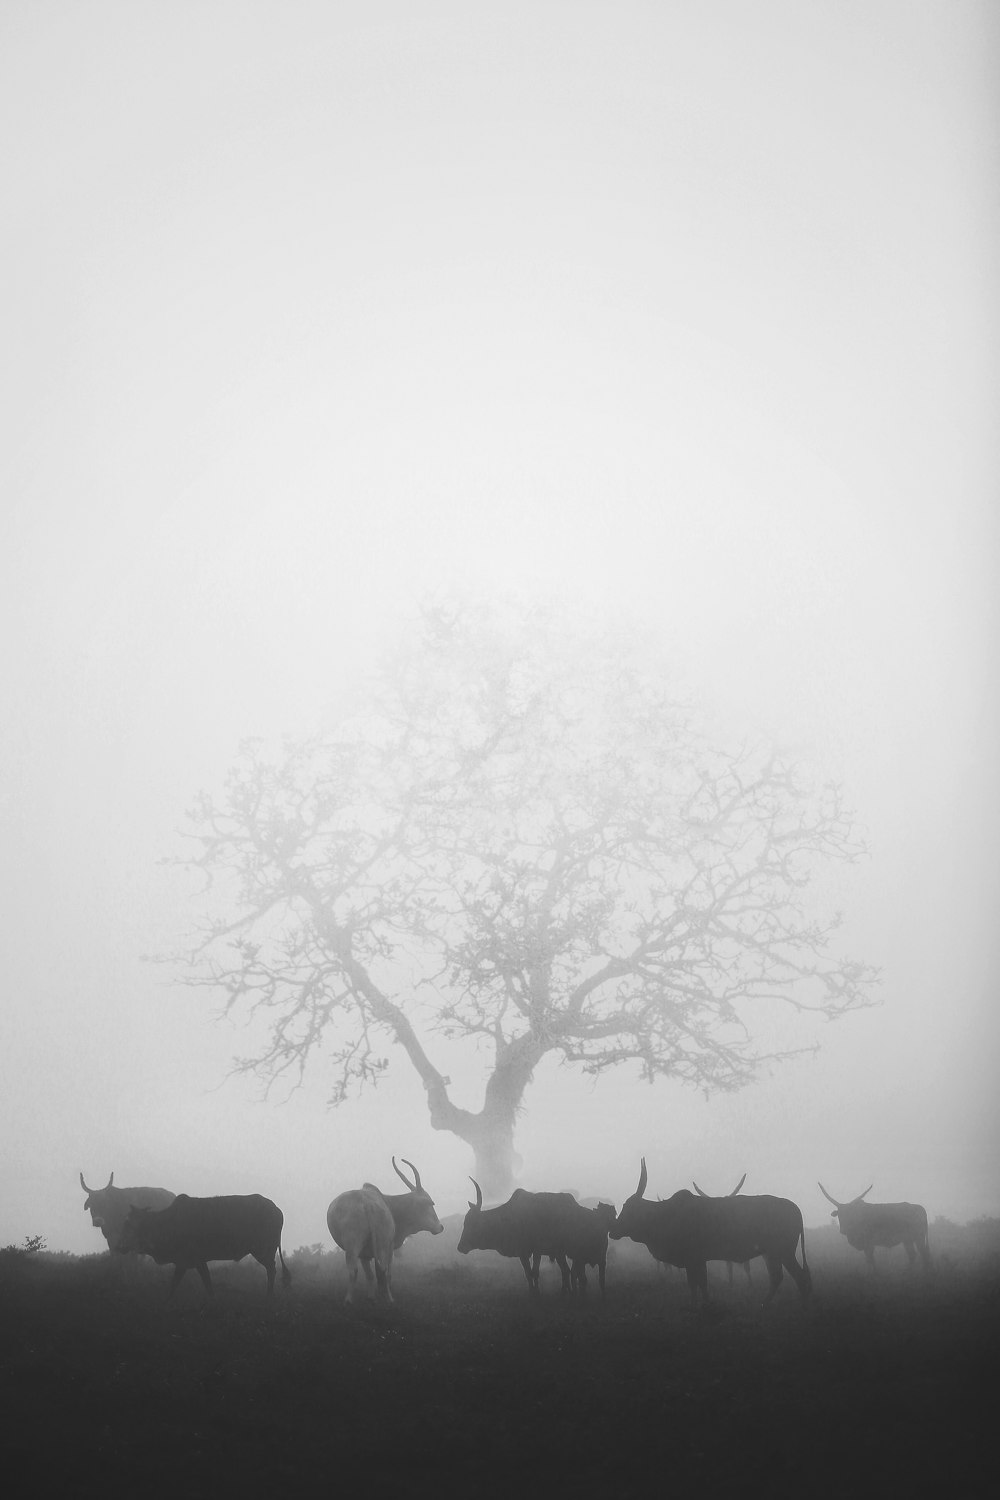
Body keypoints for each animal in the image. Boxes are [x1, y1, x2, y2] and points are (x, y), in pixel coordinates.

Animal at [118, 1188, 289, 1296]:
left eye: (128, 1224)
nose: (119, 1246)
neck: (169, 1223)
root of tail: (277, 1210)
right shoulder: (197, 1261)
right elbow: (207, 1285)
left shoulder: (187, 1260)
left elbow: (176, 1284)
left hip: (263, 1251)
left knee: (272, 1269)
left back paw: (269, 1295)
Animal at [326, 1158, 443, 1302]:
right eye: (431, 1203)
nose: (440, 1227)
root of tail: (367, 1203)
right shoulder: (389, 1246)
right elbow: (384, 1274)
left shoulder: (366, 1254)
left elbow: (371, 1275)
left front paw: (371, 1297)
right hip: (379, 1245)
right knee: (382, 1271)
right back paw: (387, 1299)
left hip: (354, 1246)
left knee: (357, 1270)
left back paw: (350, 1300)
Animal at [458, 1176, 605, 1296]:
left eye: (472, 1223)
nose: (460, 1247)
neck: (507, 1219)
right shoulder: (528, 1253)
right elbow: (530, 1273)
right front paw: (534, 1291)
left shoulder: (531, 1251)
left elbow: (532, 1273)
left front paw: (535, 1293)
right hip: (561, 1253)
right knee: (566, 1271)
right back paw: (566, 1291)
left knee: (571, 1272)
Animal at [611, 1152, 815, 1308]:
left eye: (628, 1208)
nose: (613, 1231)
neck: (664, 1215)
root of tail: (795, 1208)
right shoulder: (696, 1260)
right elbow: (698, 1283)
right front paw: (701, 1303)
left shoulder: (693, 1258)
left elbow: (697, 1283)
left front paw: (699, 1305)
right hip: (772, 1254)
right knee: (779, 1277)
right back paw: (767, 1304)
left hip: (783, 1252)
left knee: (799, 1276)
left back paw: (801, 1305)